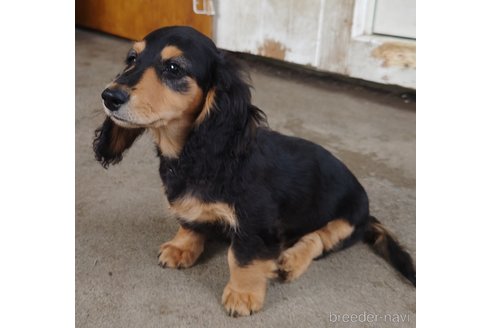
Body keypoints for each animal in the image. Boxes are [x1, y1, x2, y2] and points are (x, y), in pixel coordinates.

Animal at [92, 26, 416, 318]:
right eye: (132, 58)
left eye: (173, 67)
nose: (109, 96)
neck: (197, 155)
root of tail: (368, 214)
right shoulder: (193, 207)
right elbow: (191, 222)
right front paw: (182, 247)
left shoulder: (256, 223)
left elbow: (241, 257)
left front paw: (243, 294)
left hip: (348, 219)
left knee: (320, 239)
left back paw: (290, 261)